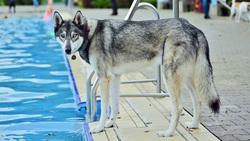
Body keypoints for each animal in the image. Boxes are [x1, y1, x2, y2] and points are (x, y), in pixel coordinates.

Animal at [53, 10, 220, 137]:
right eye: (63, 36)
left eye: (74, 35)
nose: (67, 50)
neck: (90, 35)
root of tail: (193, 27)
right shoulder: (115, 77)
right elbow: (114, 105)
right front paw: (110, 124)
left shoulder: (104, 78)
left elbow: (105, 108)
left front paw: (99, 128)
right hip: (184, 78)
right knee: (198, 101)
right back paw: (194, 125)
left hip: (170, 77)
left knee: (178, 108)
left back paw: (168, 133)